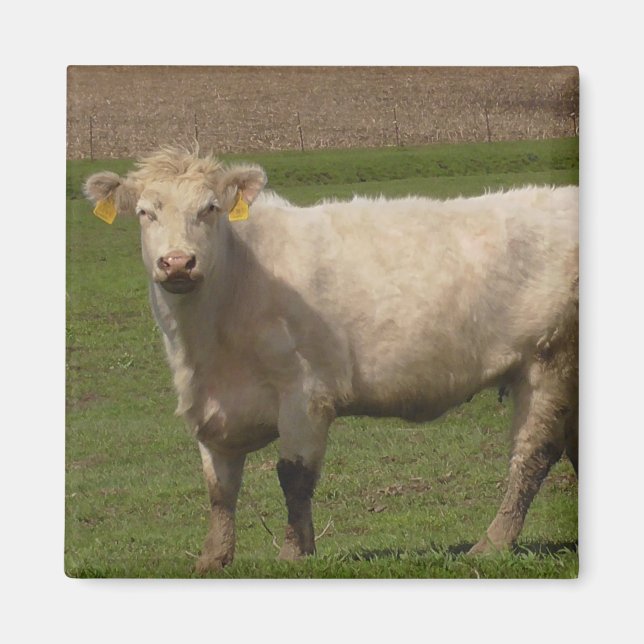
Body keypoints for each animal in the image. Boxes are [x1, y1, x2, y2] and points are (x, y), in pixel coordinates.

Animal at [84, 146, 579, 572]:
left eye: (210, 209)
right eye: (145, 212)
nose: (177, 262)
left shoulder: (304, 392)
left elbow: (293, 476)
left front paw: (294, 554)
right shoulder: (209, 405)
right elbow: (219, 488)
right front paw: (212, 559)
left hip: (549, 360)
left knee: (532, 455)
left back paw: (491, 544)